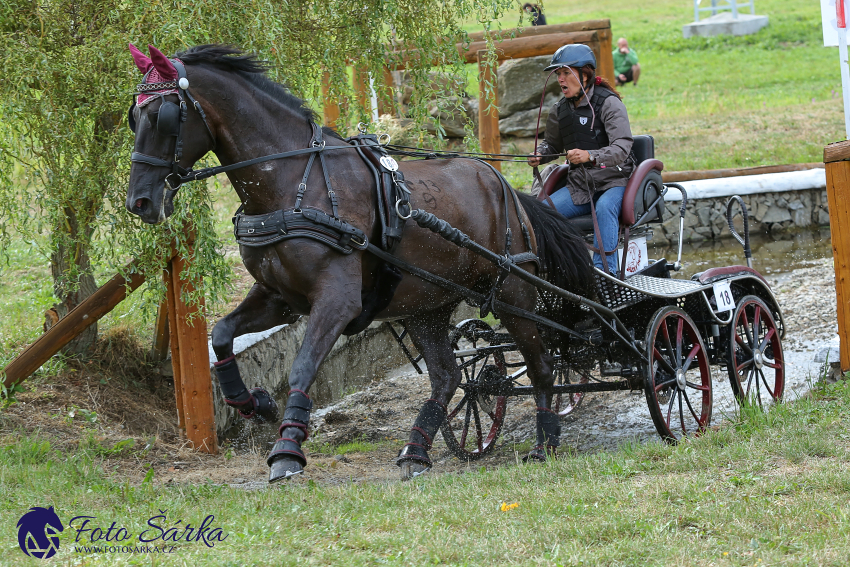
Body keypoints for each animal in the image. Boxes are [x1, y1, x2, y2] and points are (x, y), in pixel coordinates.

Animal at [127, 44, 588, 482]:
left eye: (162, 117)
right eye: (134, 117)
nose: (140, 201)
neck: (294, 183)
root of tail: (506, 188)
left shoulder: (337, 300)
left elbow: (302, 367)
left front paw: (287, 451)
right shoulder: (279, 296)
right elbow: (222, 333)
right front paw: (254, 403)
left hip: (514, 292)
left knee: (541, 362)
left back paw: (545, 441)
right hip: (426, 306)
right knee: (448, 375)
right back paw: (416, 449)